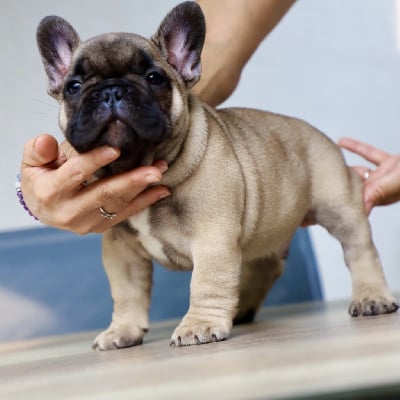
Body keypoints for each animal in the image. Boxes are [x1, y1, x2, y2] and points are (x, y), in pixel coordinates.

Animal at [36, 1, 396, 348]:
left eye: (154, 78)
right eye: (73, 87)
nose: (112, 91)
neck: (143, 164)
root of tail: (318, 134)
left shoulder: (213, 239)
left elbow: (206, 283)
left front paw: (200, 325)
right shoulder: (121, 251)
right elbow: (126, 293)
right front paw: (122, 331)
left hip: (337, 206)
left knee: (360, 250)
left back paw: (371, 297)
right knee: (264, 266)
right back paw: (241, 309)